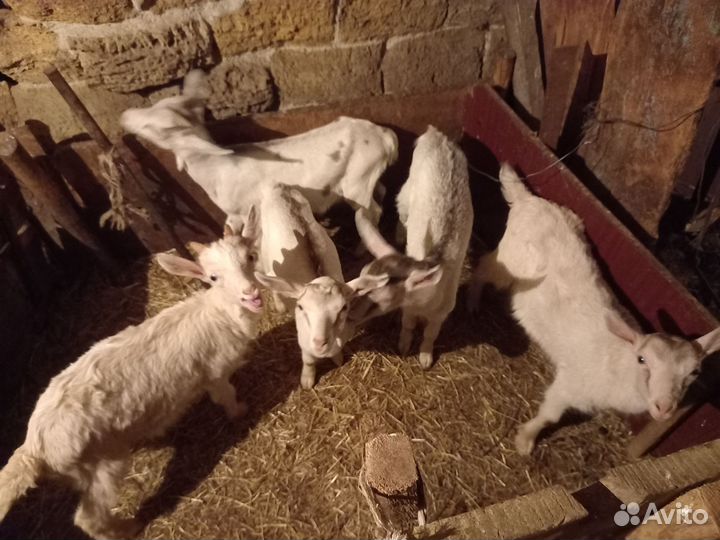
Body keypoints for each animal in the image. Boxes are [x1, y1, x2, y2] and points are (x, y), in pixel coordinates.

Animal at [0, 209, 262, 539]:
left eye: (250, 257)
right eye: (213, 278)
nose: (251, 294)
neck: (219, 314)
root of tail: (34, 447)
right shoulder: (215, 373)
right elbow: (226, 396)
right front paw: (241, 411)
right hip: (101, 463)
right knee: (87, 517)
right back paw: (128, 527)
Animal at [120, 70, 398, 235]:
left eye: (158, 128)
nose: (125, 116)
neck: (213, 167)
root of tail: (384, 137)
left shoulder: (244, 211)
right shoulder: (233, 215)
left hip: (356, 183)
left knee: (371, 212)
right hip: (368, 177)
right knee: (382, 192)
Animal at [470, 163, 720, 455]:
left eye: (694, 372)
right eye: (642, 360)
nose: (664, 407)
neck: (620, 364)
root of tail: (526, 199)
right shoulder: (570, 384)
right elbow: (549, 416)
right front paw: (525, 441)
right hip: (510, 260)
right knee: (483, 268)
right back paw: (473, 303)